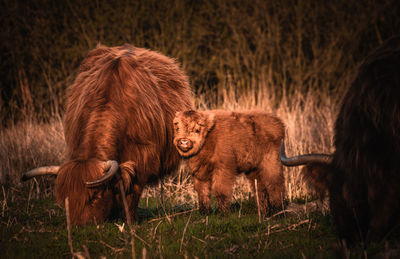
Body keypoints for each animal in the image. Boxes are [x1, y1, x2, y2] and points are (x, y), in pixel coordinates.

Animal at [21, 43, 194, 224]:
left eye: (95, 197)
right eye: (66, 199)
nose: (78, 226)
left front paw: (130, 219)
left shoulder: (143, 156)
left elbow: (132, 189)